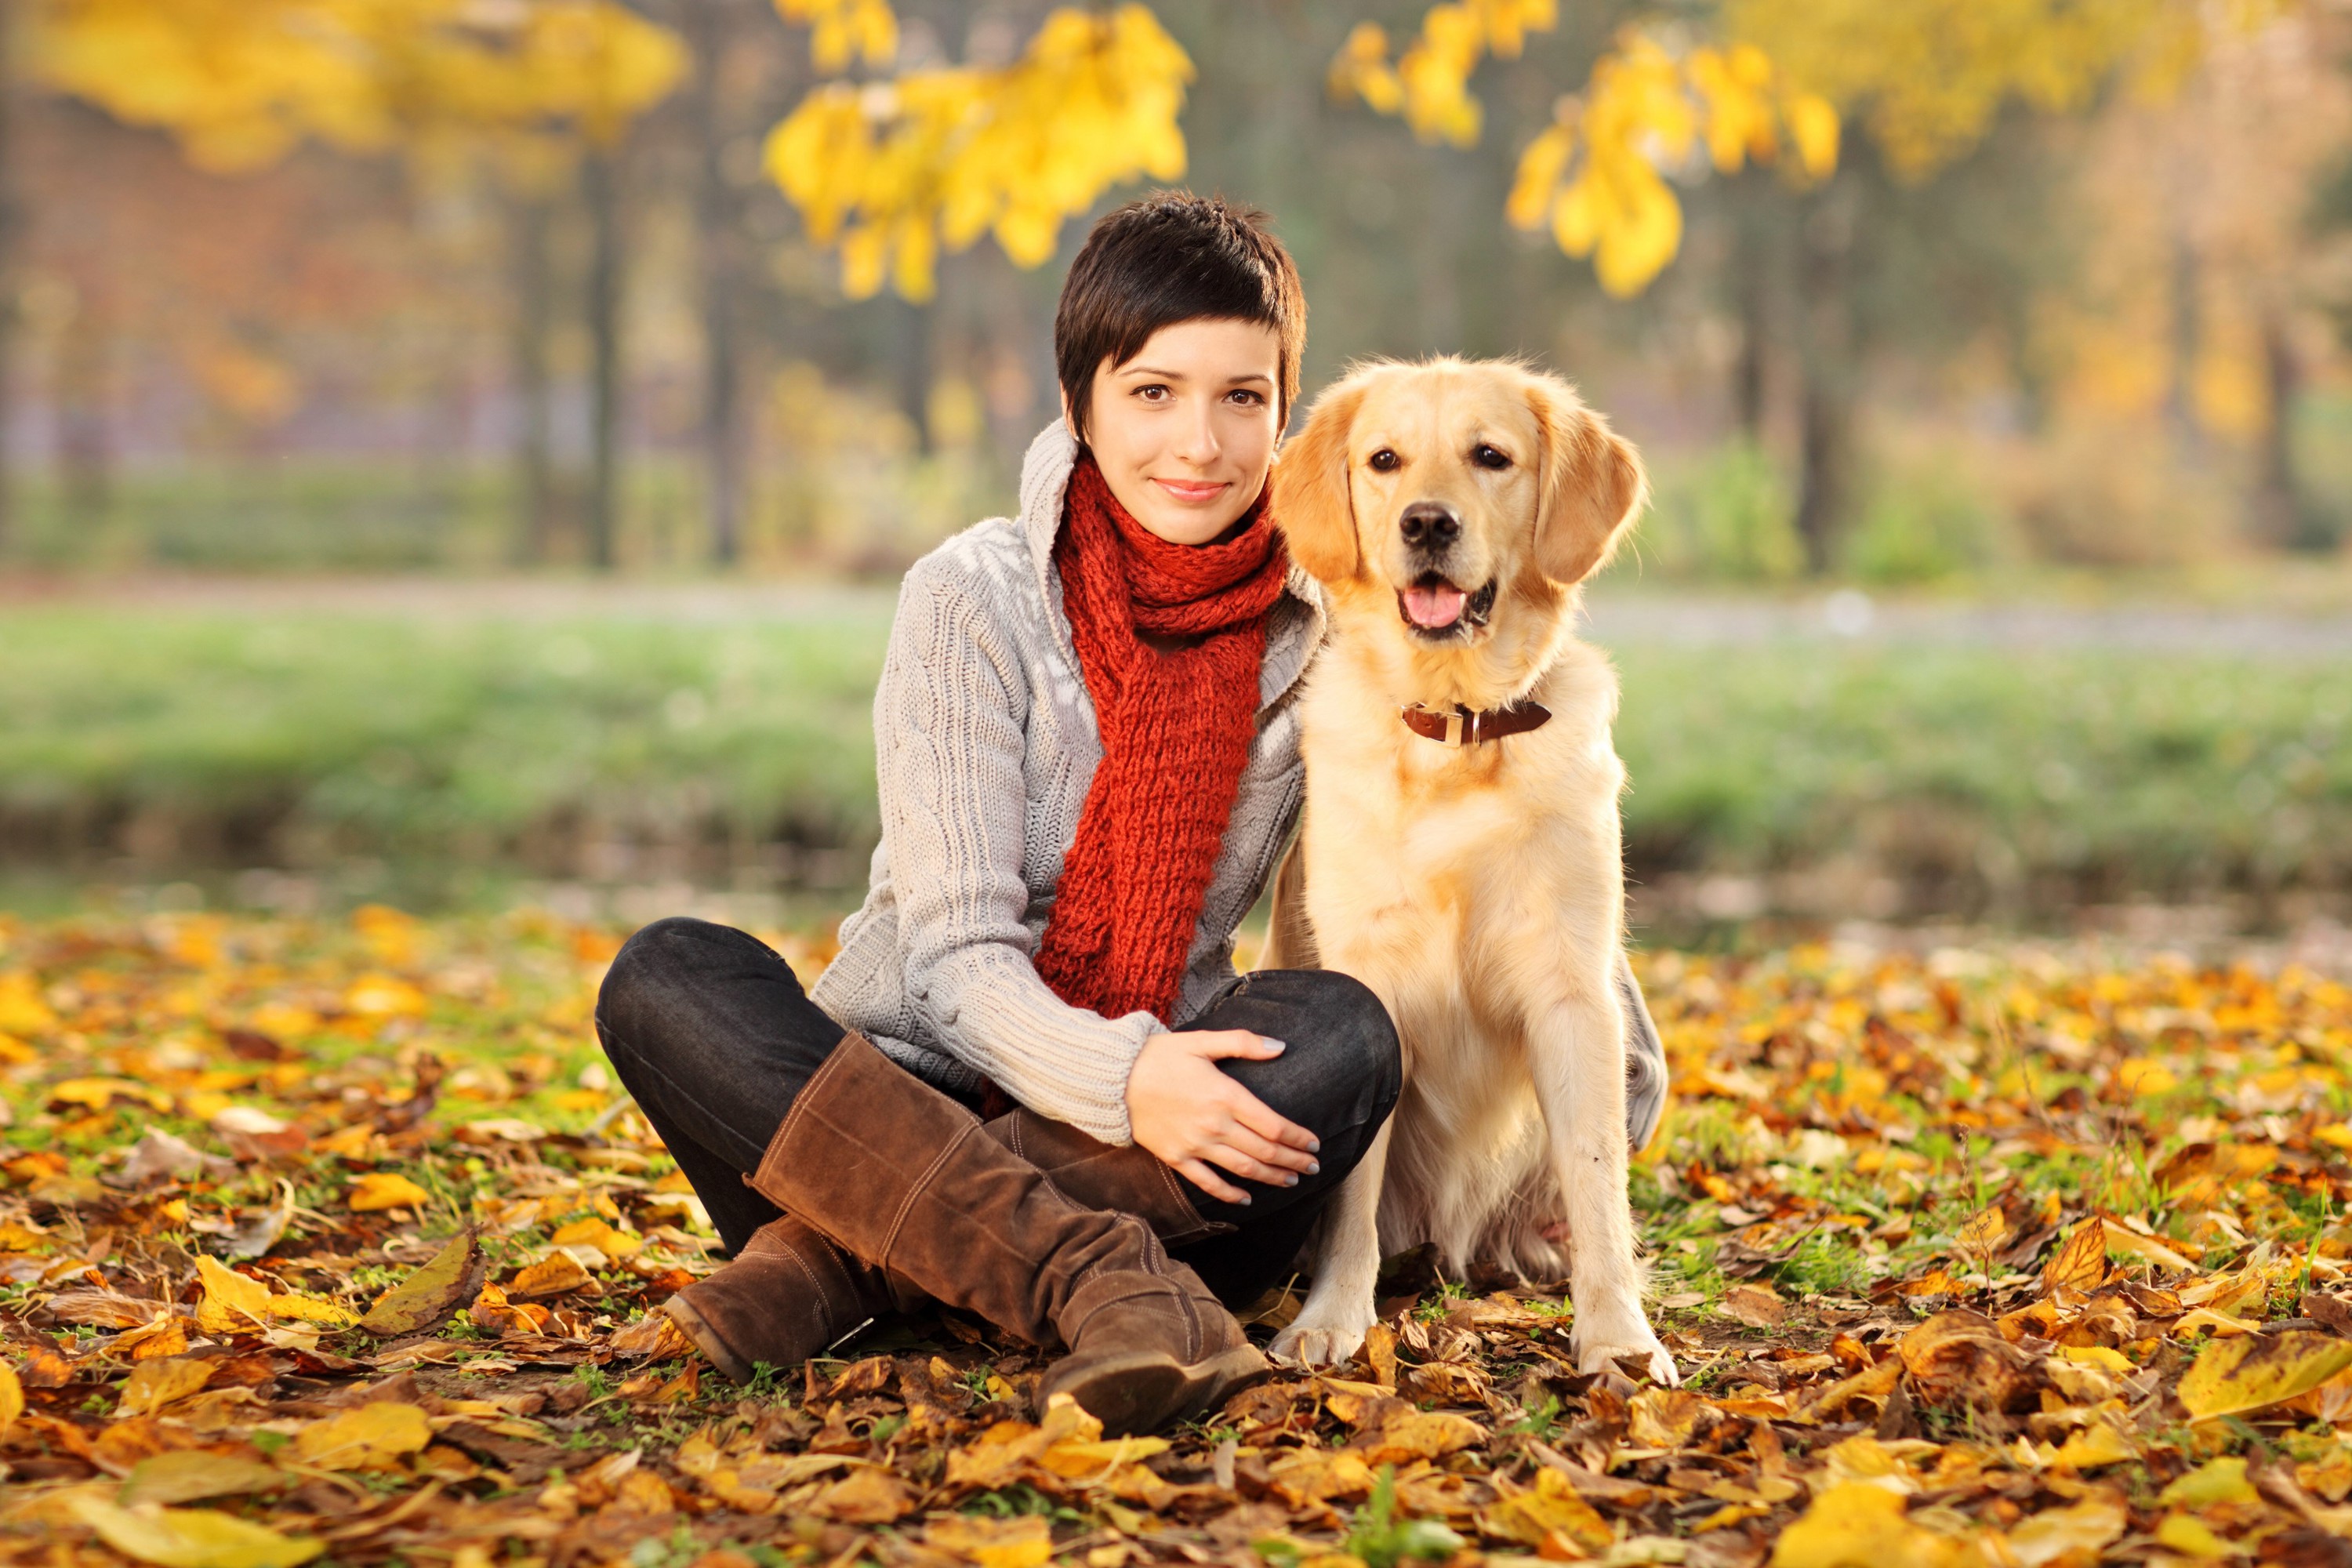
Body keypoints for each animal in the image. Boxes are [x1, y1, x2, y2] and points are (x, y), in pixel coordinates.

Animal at [1261, 359, 1684, 1382]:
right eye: (1385, 460)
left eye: (1490, 456)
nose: (1427, 523)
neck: (1455, 731)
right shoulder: (1366, 974)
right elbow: (1354, 1196)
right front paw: (1332, 1316)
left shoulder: (1574, 985)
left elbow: (1598, 1180)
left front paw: (1618, 1334)